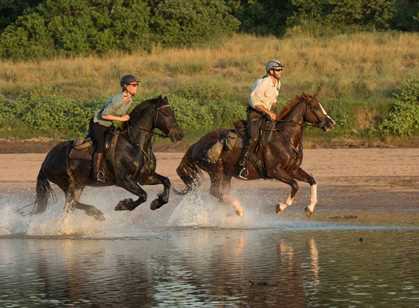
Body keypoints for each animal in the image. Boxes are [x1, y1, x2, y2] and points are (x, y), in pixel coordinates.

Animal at [32, 95, 183, 219]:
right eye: (166, 113)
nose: (179, 135)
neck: (134, 144)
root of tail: (46, 159)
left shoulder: (145, 177)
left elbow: (166, 181)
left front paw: (157, 203)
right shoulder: (124, 180)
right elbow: (143, 195)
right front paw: (123, 205)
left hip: (79, 185)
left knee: (71, 205)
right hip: (67, 184)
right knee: (72, 202)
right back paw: (96, 213)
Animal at [176, 93, 336, 217]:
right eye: (315, 107)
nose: (331, 123)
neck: (285, 138)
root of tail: (196, 144)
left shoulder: (293, 169)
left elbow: (311, 180)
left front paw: (310, 208)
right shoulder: (275, 171)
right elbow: (295, 185)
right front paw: (280, 206)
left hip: (226, 174)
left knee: (222, 193)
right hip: (216, 171)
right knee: (215, 192)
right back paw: (239, 209)